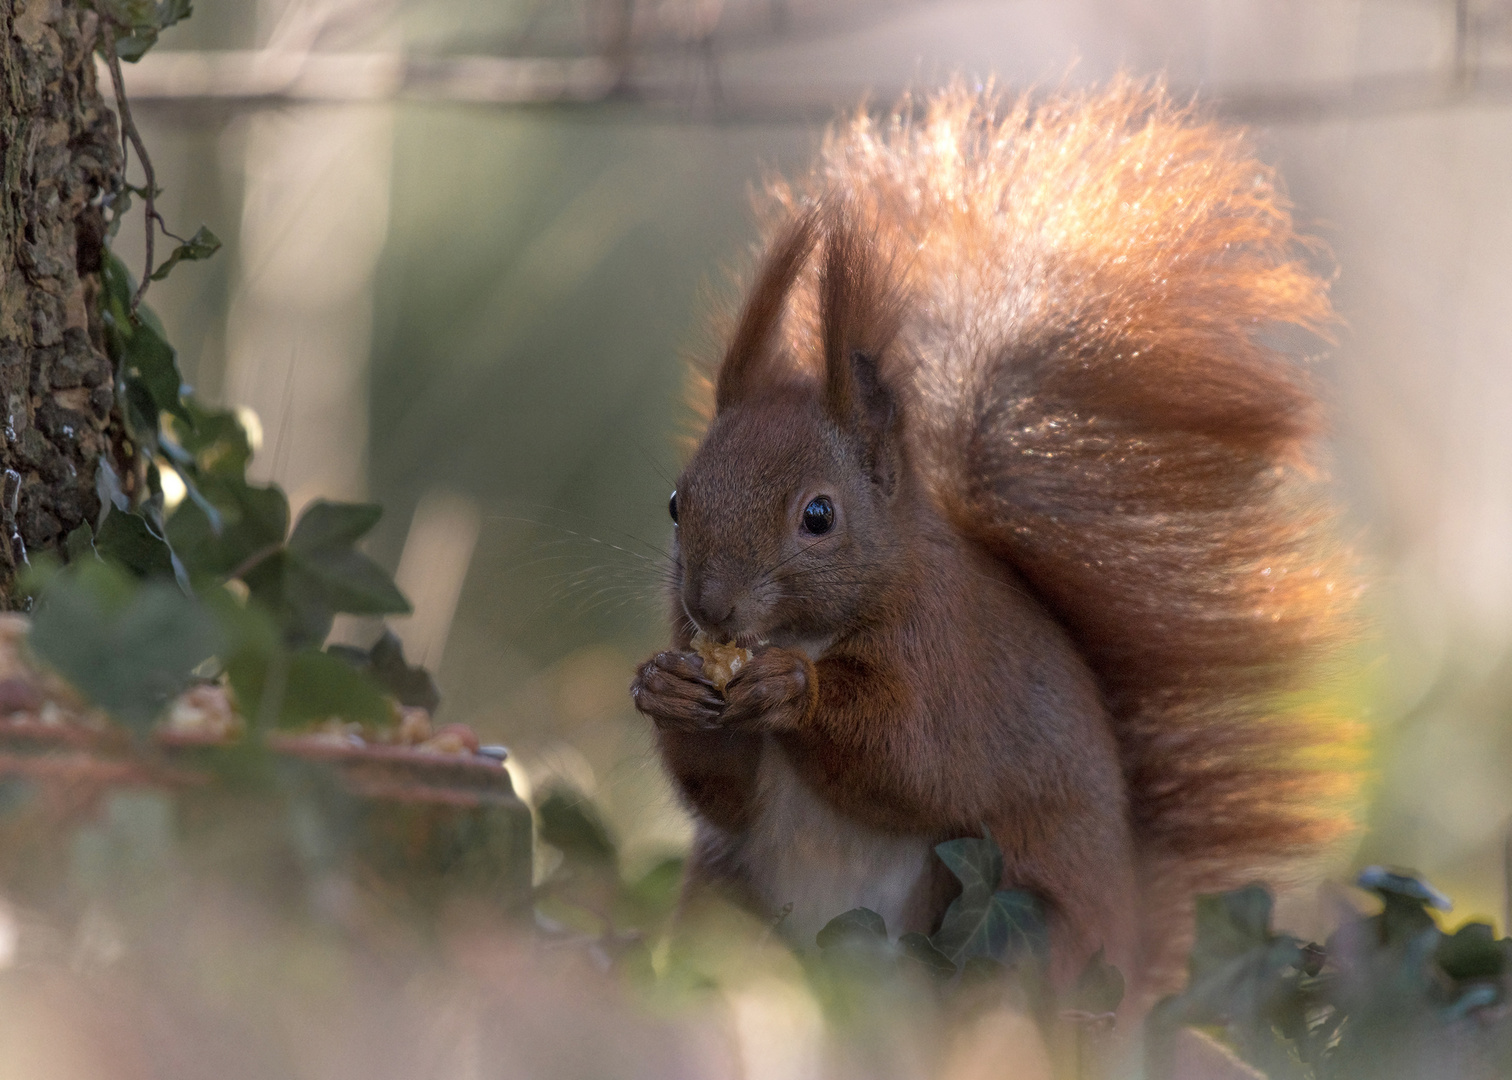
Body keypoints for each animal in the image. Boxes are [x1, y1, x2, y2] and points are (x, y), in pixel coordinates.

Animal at [625, 79, 1360, 998]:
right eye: (675, 501)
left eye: (819, 516)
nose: (709, 607)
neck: (809, 629)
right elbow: (723, 793)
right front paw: (664, 686)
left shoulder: (948, 659)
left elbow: (915, 761)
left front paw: (797, 691)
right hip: (726, 901)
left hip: (1017, 927)